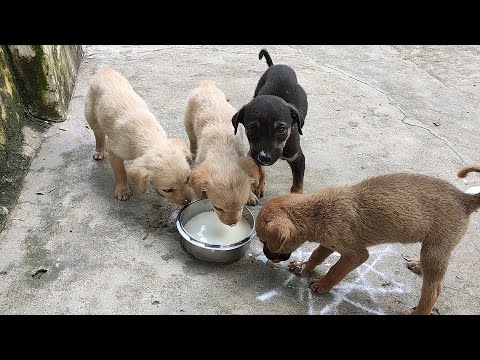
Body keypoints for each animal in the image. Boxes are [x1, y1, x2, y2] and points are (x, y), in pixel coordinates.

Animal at [84, 65, 193, 205]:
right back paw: (99, 151)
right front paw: (122, 190)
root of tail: (104, 69)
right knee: (98, 135)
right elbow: (120, 171)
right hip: (91, 116)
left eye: (188, 179)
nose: (188, 201)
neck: (147, 133)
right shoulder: (114, 150)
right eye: (168, 190)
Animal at [184, 81, 260, 225]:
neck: (223, 149)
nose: (233, 223)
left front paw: (251, 196)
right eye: (218, 208)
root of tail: (206, 85)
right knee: (192, 139)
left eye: (242, 206)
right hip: (188, 123)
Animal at [232, 48, 308, 194]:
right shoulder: (253, 153)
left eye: (281, 129)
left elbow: (298, 183)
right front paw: (259, 186)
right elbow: (260, 169)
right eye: (252, 129)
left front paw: (296, 195)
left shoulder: (298, 158)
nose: (264, 157)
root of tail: (276, 66)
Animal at [256, 167, 480, 314]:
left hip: (434, 250)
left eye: (264, 241)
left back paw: (420, 311)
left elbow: (335, 270)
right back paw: (419, 266)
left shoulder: (356, 254)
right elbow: (317, 254)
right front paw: (304, 266)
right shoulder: (329, 242)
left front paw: (323, 284)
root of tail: (463, 198)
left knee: (433, 291)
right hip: (433, 250)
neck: (318, 212)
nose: (267, 255)